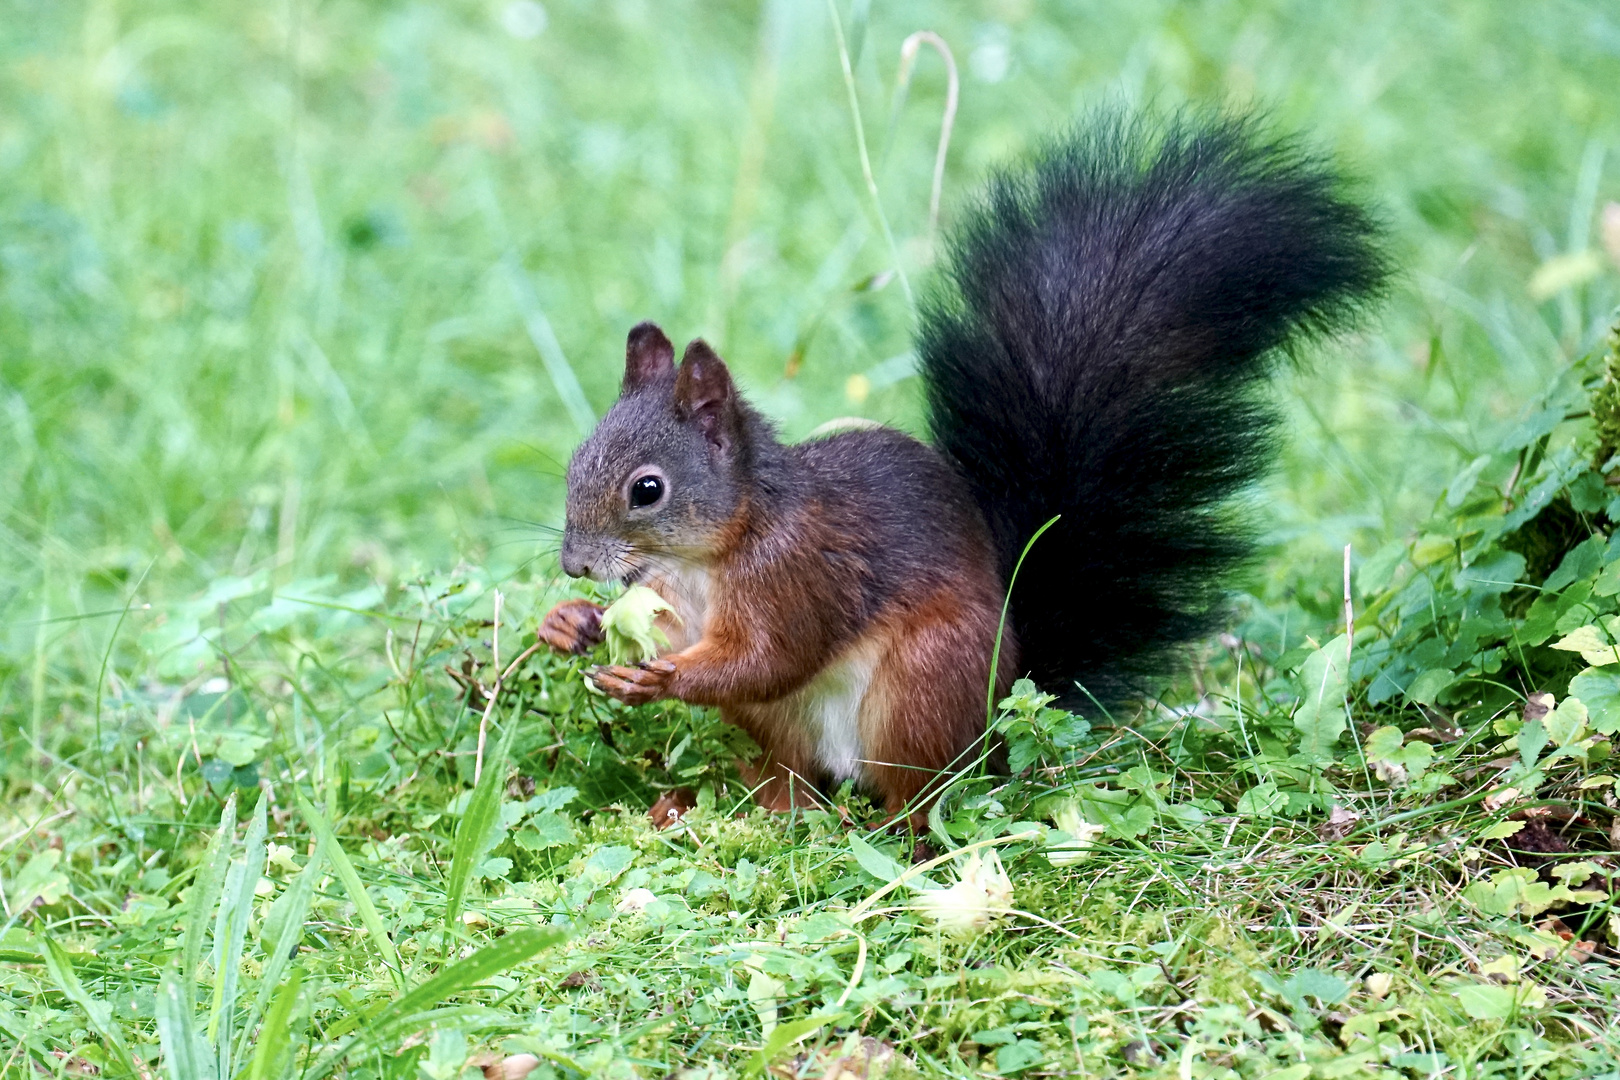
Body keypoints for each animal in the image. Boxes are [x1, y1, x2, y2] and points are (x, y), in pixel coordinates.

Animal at [537, 110, 1386, 822]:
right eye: (576, 460)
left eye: (648, 490)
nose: (575, 564)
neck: (715, 551)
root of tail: (1007, 711)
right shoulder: (678, 593)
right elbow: (683, 632)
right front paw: (572, 624)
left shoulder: (804, 572)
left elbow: (769, 657)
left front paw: (661, 678)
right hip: (799, 729)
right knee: (793, 782)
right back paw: (736, 810)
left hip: (924, 683)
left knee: (921, 791)